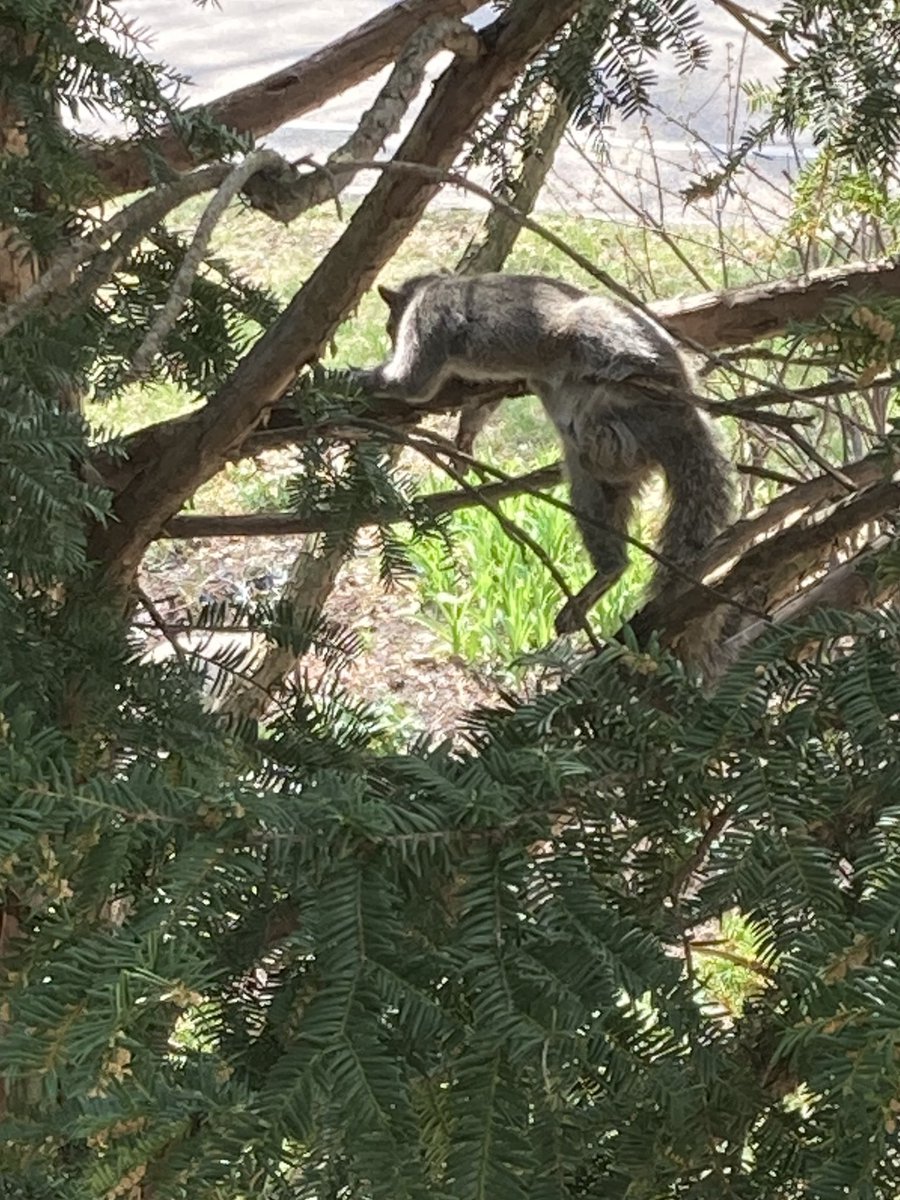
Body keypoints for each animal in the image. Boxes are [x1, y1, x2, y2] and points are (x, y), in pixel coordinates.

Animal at [350, 272, 733, 635]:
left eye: (391, 324)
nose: (390, 338)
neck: (437, 285)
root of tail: (678, 420)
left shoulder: (432, 319)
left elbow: (412, 382)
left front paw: (364, 376)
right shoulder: (482, 382)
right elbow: (477, 407)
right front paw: (464, 440)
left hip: (592, 332)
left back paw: (637, 366)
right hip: (600, 475)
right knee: (607, 529)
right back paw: (599, 579)